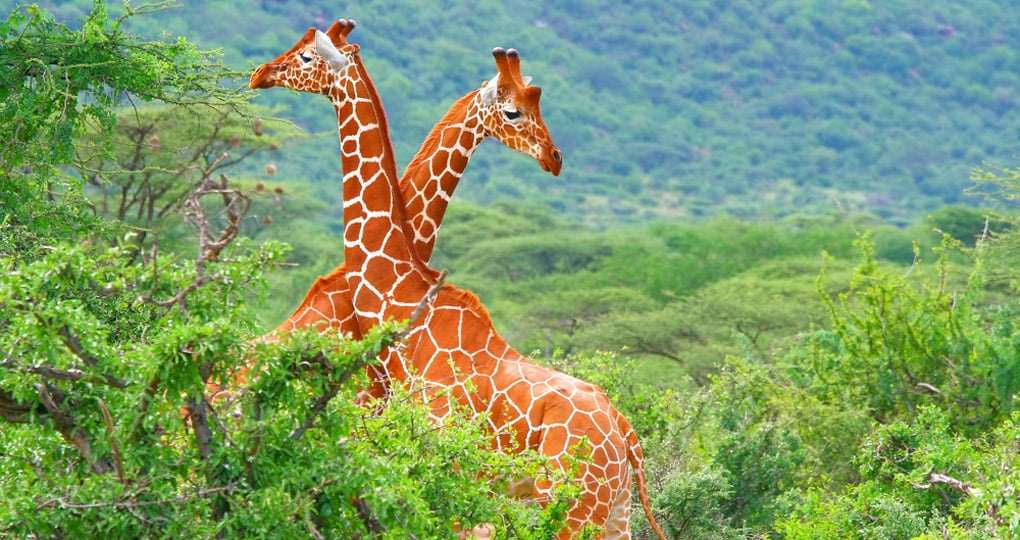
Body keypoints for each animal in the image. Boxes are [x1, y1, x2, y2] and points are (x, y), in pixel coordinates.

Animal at [249, 21, 667, 539]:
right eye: (517, 108)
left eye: (308, 57)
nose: (260, 73)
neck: (404, 306)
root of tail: (627, 436)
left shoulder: (440, 463)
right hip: (615, 510)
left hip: (574, 506)